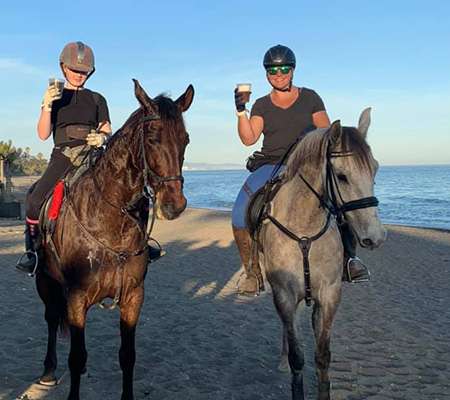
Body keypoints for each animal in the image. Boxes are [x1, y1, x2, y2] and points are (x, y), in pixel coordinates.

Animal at [33, 79, 192, 398]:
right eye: (152, 138)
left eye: (186, 139)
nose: (174, 204)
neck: (108, 220)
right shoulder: (77, 297)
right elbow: (77, 357)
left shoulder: (133, 297)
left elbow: (127, 356)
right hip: (44, 280)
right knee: (51, 318)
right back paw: (48, 370)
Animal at [256, 109, 386, 400]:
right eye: (341, 176)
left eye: (375, 169)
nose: (376, 237)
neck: (304, 228)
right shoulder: (284, 295)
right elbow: (297, 356)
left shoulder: (329, 295)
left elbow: (322, 355)